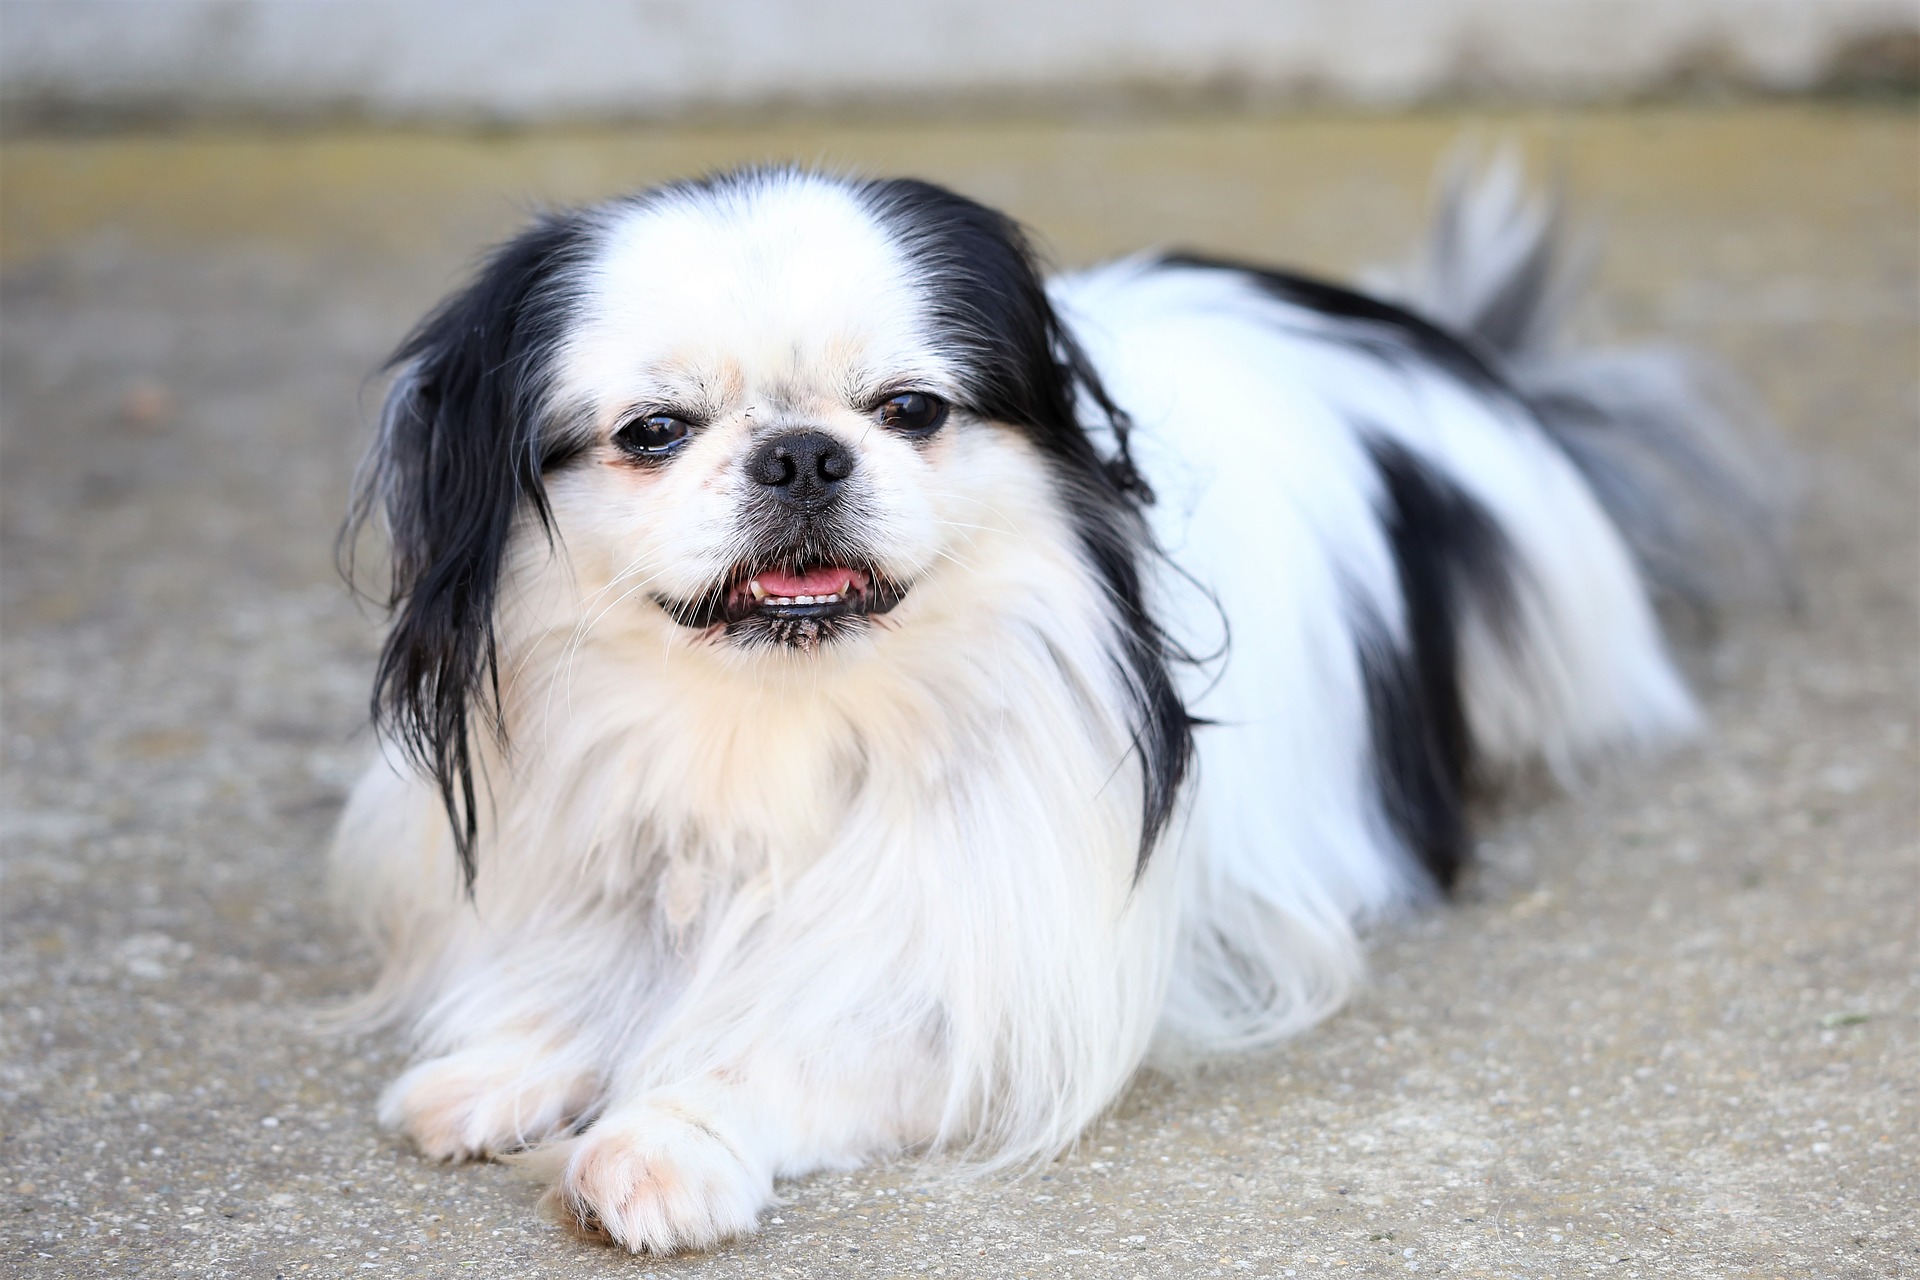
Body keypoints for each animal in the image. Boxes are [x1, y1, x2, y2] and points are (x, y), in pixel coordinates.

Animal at [326, 155, 1766, 1258]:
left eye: (911, 409)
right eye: (653, 432)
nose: (801, 452)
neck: (781, 727)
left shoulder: (996, 989)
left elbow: (794, 1038)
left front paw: (666, 1138)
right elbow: (603, 962)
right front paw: (509, 1060)